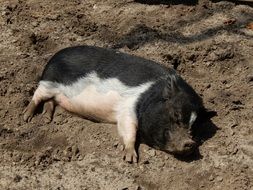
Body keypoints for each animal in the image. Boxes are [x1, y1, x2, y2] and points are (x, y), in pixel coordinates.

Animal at [23, 45, 205, 163]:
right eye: (176, 115)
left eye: (193, 128)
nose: (190, 143)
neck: (149, 96)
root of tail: (55, 56)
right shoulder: (127, 108)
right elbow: (128, 129)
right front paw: (130, 159)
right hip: (49, 82)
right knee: (37, 95)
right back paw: (27, 117)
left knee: (51, 101)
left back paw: (46, 118)